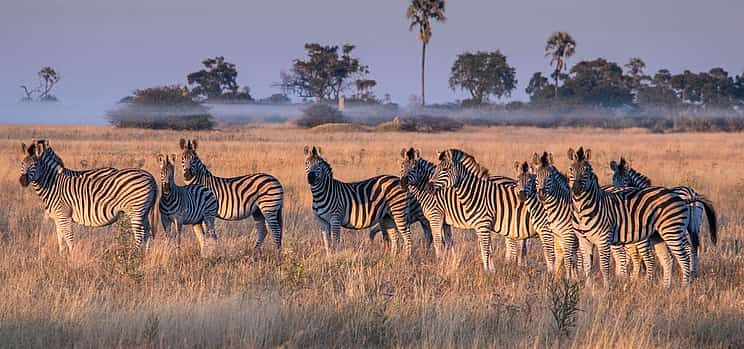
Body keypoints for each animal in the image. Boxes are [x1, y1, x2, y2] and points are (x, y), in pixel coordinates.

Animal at [19, 140, 158, 254]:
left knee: (140, 236)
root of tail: (150, 176)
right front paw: (62, 258)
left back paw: (134, 258)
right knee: (147, 233)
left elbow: (69, 239)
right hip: (143, 211)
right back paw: (145, 256)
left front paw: (72, 259)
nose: (23, 181)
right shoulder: (57, 218)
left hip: (136, 211)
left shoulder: (64, 216)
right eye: (21, 163)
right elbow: (61, 241)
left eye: (35, 164)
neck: (53, 185)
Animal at [398, 147, 528, 264]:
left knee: (512, 243)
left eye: (414, 168)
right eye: (402, 166)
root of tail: (514, 182)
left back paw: (510, 264)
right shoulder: (445, 222)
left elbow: (437, 241)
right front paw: (451, 260)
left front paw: (438, 261)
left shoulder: (435, 216)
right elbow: (449, 241)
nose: (403, 183)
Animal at [428, 148, 556, 270]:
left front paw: (487, 271)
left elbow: (485, 249)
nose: (429, 187)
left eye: (444, 170)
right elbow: (484, 248)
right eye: (436, 169)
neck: (477, 193)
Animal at [568, 145, 716, 286]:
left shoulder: (608, 238)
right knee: (677, 254)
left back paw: (685, 286)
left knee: (684, 256)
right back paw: (674, 284)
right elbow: (590, 266)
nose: (576, 189)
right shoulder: (587, 239)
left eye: (587, 170)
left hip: (673, 231)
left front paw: (611, 286)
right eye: (571, 169)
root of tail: (687, 196)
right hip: (671, 232)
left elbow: (609, 264)